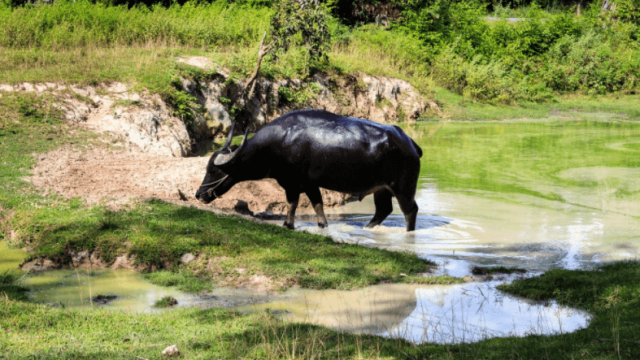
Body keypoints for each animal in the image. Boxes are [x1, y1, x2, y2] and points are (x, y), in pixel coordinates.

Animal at [195, 109, 424, 232]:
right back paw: (368, 228)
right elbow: (318, 206)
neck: (277, 144)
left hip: (403, 187)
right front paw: (322, 226)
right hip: (381, 189)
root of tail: (410, 143)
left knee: (410, 211)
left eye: (213, 171)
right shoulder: (310, 184)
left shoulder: (292, 184)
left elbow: (292, 203)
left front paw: (288, 224)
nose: (199, 194)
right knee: (383, 210)